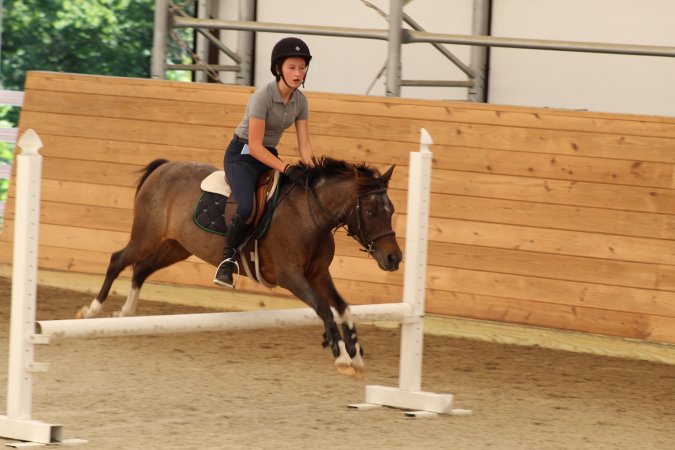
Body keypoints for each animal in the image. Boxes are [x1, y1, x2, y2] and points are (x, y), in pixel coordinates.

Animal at [76, 156, 402, 374]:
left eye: (391, 210)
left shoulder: (318, 274)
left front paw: (355, 352)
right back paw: (91, 311)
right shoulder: (291, 276)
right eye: (370, 211)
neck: (310, 216)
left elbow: (342, 307)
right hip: (147, 236)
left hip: (175, 247)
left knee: (141, 269)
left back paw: (125, 314)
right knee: (118, 260)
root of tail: (164, 167)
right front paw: (341, 354)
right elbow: (324, 308)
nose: (393, 258)